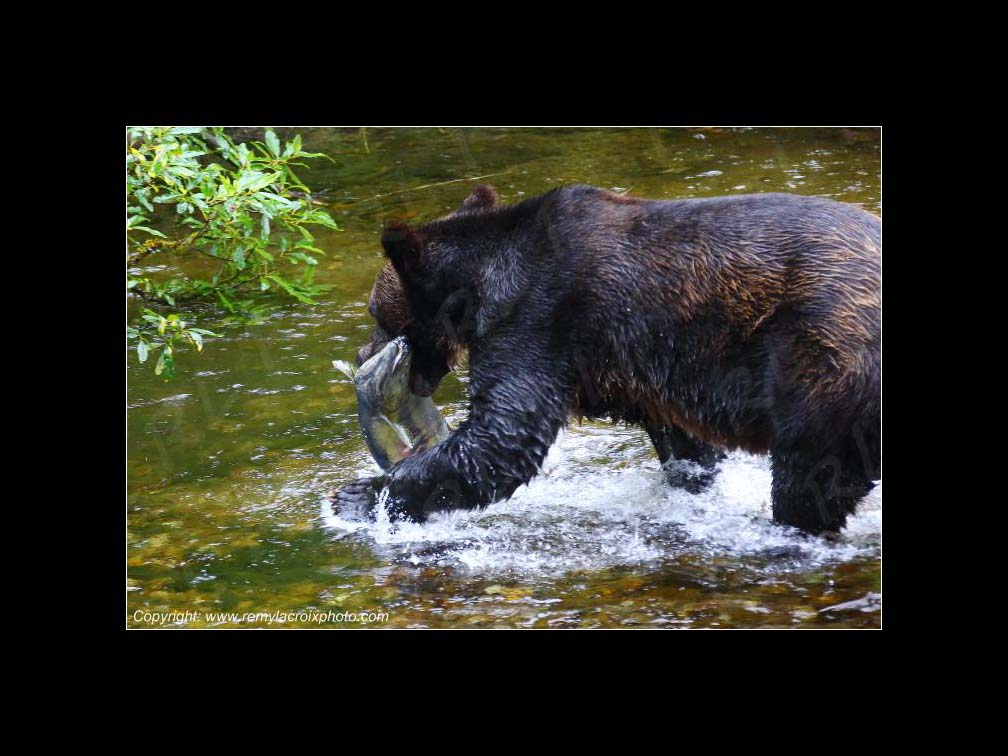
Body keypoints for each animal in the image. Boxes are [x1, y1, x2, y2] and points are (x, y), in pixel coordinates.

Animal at [335, 184, 881, 534]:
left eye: (376, 313)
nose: (362, 353)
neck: (482, 289)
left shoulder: (539, 319)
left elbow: (503, 435)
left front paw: (362, 495)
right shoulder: (642, 367)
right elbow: (687, 447)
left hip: (822, 353)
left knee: (810, 473)